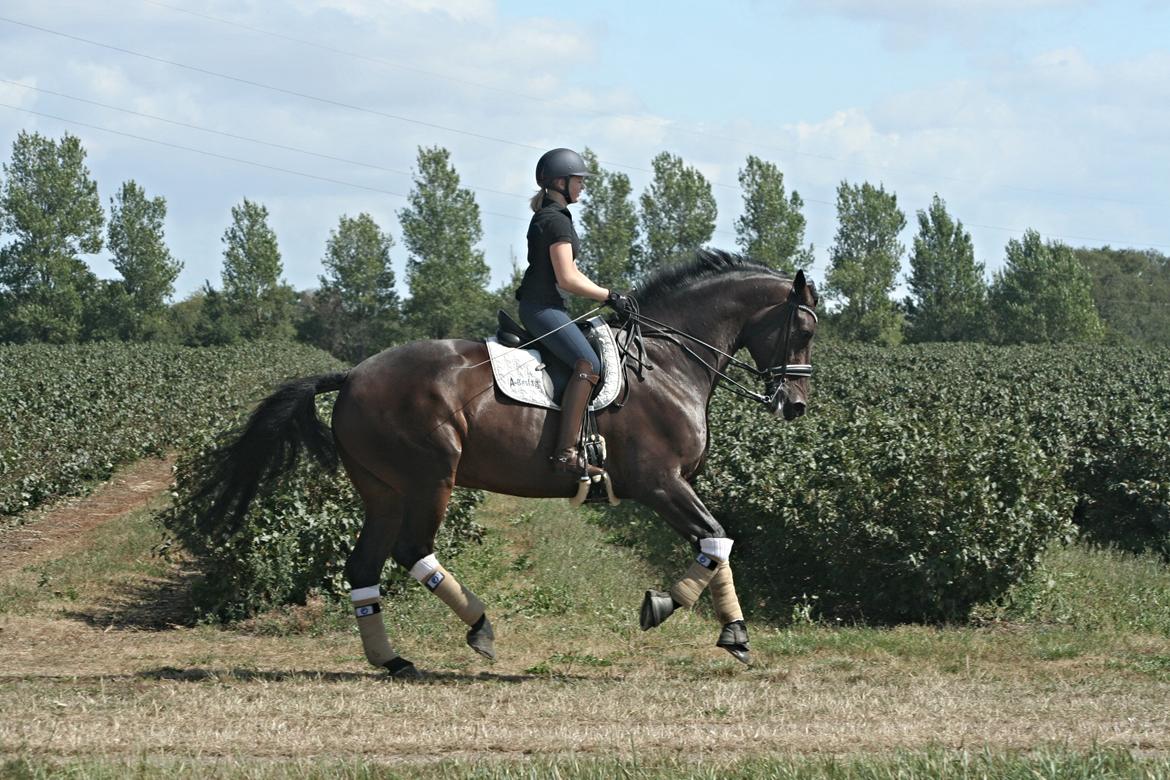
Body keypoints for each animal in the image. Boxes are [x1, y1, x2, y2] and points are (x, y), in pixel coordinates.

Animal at [196, 250, 819, 678]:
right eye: (804, 328)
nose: (794, 405)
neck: (668, 361)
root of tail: (351, 375)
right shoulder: (659, 483)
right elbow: (715, 538)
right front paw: (676, 611)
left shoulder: (672, 486)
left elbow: (717, 543)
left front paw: (733, 633)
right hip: (430, 477)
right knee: (412, 550)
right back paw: (480, 628)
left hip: (384, 491)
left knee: (364, 566)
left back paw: (394, 661)